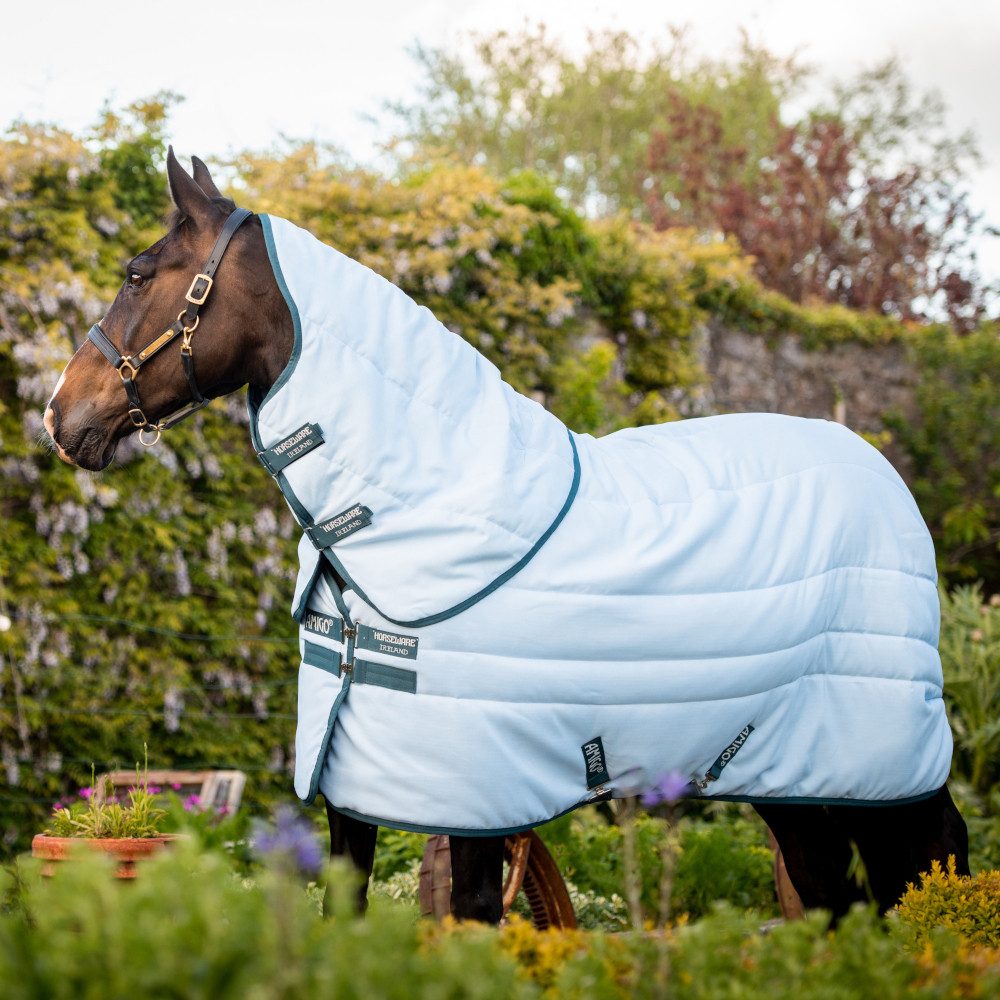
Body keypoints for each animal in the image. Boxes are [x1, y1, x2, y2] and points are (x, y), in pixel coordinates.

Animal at [44, 149, 969, 922]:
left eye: (138, 274)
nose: (59, 415)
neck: (419, 511)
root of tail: (881, 473)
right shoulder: (353, 790)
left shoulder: (473, 797)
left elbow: (476, 920)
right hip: (793, 778)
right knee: (830, 901)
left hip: (883, 767)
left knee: (936, 861)